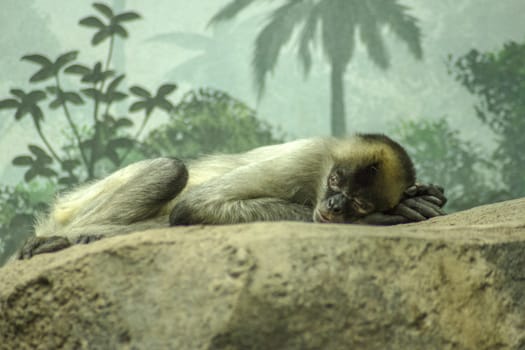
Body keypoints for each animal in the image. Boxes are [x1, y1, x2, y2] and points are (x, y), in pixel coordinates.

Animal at [16, 134, 444, 260]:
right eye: (336, 181)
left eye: (358, 202)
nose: (336, 206)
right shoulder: (308, 156)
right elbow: (193, 206)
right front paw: (386, 216)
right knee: (172, 169)